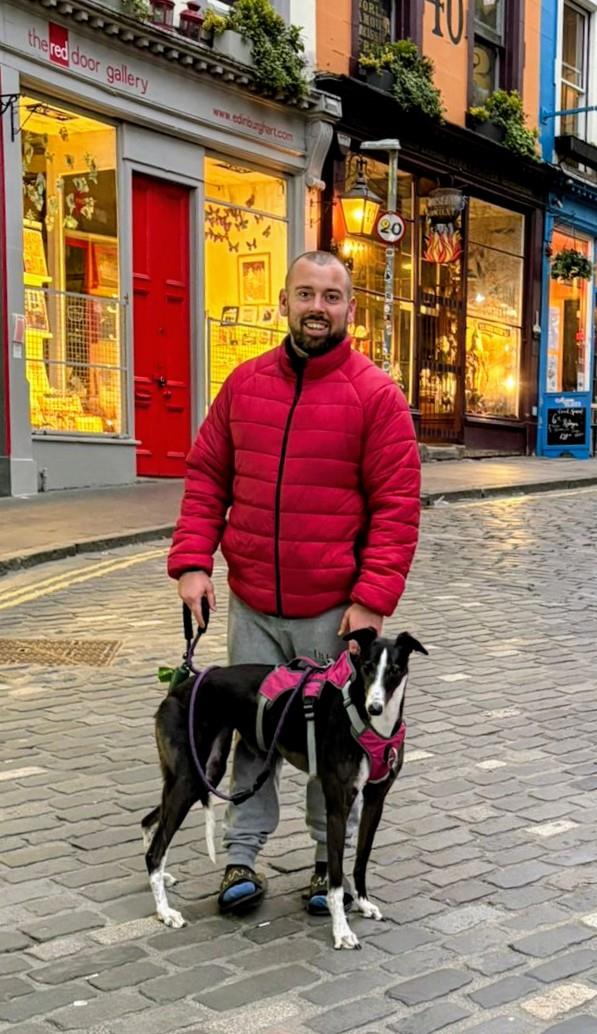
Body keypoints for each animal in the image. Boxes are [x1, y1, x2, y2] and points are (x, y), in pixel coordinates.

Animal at [142, 623, 427, 949]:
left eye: (394, 670)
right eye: (366, 667)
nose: (375, 707)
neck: (364, 719)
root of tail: (179, 687)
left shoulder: (375, 800)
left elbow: (361, 860)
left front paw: (364, 903)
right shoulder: (337, 802)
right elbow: (336, 879)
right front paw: (341, 931)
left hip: (204, 773)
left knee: (149, 823)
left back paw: (160, 880)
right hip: (189, 777)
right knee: (156, 847)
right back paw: (165, 911)